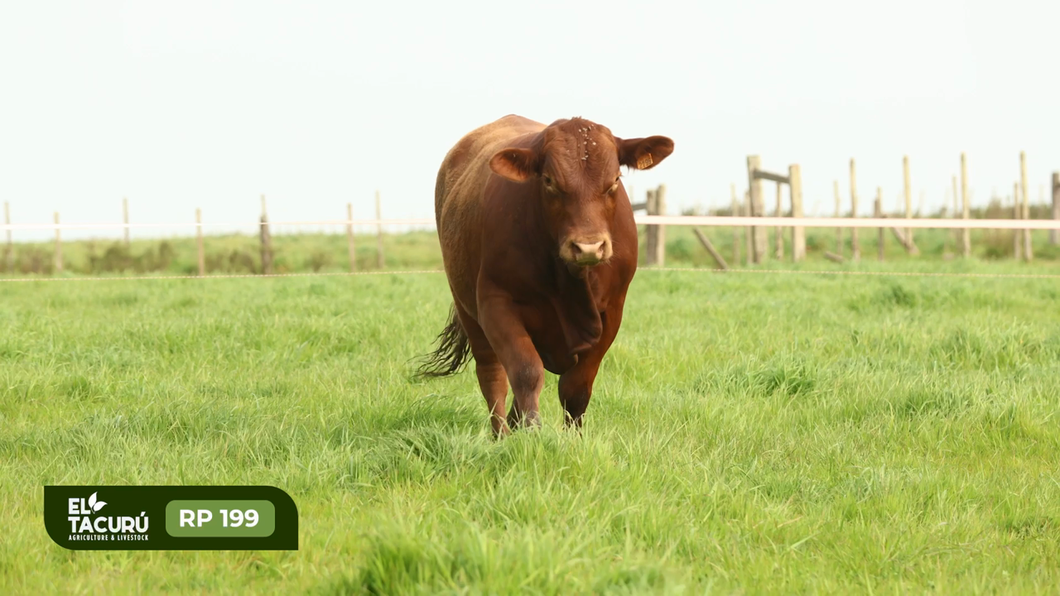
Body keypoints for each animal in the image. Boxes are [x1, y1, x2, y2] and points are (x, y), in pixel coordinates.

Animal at [417, 113, 674, 434]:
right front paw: (532, 433)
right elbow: (526, 372)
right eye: (549, 181)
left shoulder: (613, 312)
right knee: (492, 375)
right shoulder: (495, 303)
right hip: (468, 310)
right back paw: (501, 435)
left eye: (615, 180)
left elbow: (576, 387)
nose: (588, 246)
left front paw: (571, 439)